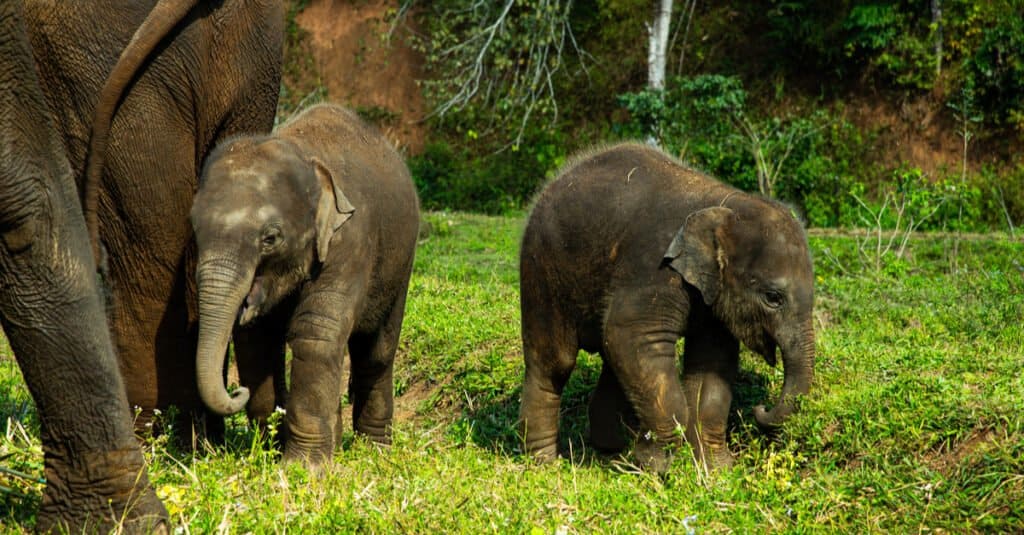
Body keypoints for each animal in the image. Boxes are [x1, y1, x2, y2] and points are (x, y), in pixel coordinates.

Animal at [190, 103, 417, 461]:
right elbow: (255, 341)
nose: (237, 390)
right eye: (194, 230)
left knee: (376, 353)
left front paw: (303, 466)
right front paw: (271, 451)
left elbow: (316, 334)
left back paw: (375, 450)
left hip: (401, 262)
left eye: (270, 238)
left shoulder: (350, 241)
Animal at [520, 140, 815, 471]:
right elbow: (631, 337)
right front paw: (660, 467)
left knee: (611, 360)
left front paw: (715, 469)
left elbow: (712, 365)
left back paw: (612, 454)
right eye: (773, 297)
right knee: (555, 362)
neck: (723, 205)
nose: (760, 409)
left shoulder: (711, 297)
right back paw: (545, 463)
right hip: (542, 269)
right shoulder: (654, 267)